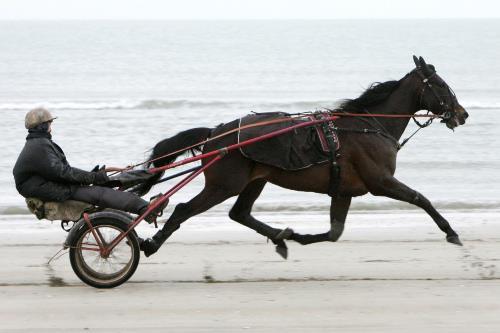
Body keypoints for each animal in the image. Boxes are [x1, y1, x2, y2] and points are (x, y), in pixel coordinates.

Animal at [136, 55, 468, 256]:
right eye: (441, 85)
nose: (462, 114)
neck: (369, 125)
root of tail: (216, 133)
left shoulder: (344, 190)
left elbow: (334, 232)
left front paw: (297, 236)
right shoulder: (380, 181)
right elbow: (421, 199)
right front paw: (450, 231)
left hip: (255, 180)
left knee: (239, 213)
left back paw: (281, 237)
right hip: (224, 184)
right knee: (183, 209)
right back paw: (151, 243)